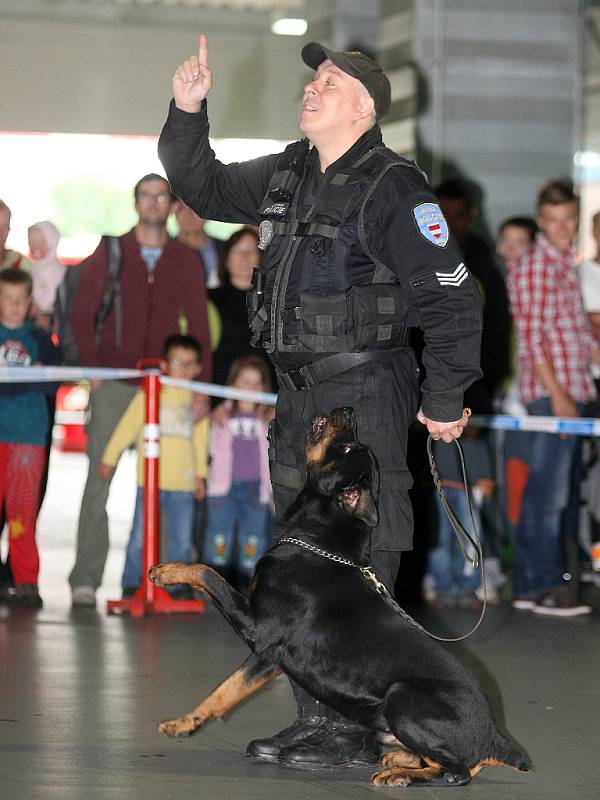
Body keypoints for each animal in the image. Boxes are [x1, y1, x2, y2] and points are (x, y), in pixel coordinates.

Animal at [151, 406, 528, 788]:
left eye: (347, 449)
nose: (345, 411)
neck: (319, 544)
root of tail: (495, 736)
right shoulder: (270, 656)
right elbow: (227, 689)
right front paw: (185, 723)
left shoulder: (258, 629)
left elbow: (207, 575)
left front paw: (166, 572)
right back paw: (397, 759)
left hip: (401, 696)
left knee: (457, 772)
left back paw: (399, 775)